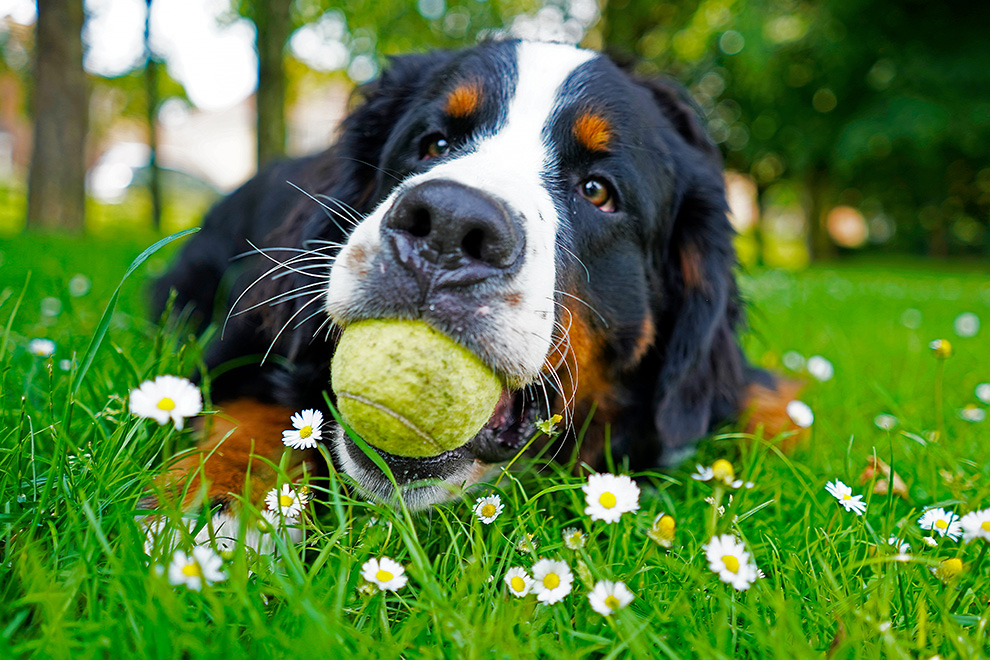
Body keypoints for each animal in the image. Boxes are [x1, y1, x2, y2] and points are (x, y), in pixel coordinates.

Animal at [155, 38, 808, 516]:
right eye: (434, 143)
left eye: (598, 191)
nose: (448, 225)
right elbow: (254, 412)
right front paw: (213, 508)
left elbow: (771, 398)